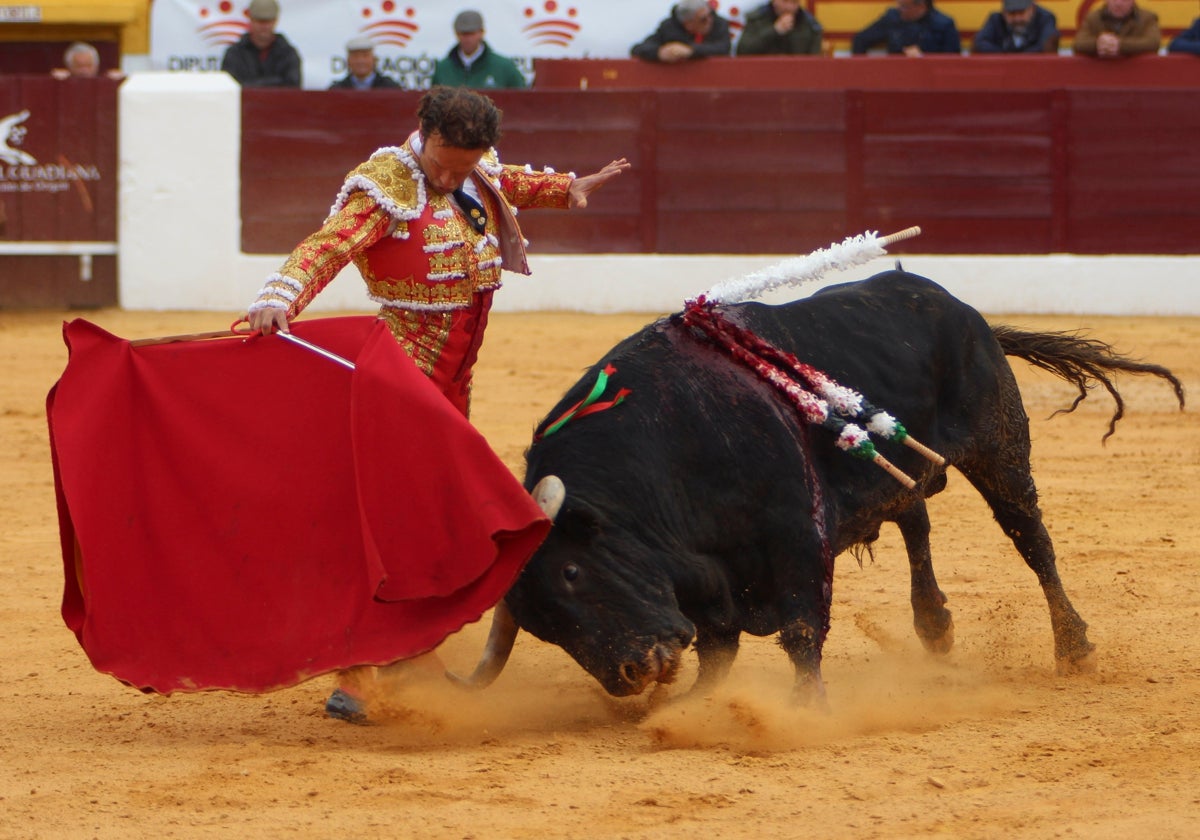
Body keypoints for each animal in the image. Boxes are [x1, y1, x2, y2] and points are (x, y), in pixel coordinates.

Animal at [453, 272, 1185, 700]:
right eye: (544, 627)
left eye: (573, 573)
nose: (633, 674)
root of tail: (956, 304)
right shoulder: (711, 575)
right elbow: (717, 650)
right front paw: (698, 707)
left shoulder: (793, 531)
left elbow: (802, 628)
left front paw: (806, 711)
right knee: (915, 517)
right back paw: (935, 626)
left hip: (999, 447)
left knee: (1031, 539)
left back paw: (1074, 646)